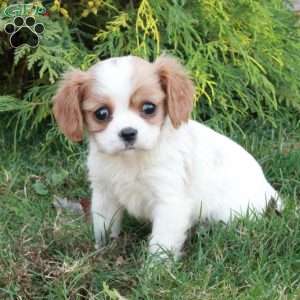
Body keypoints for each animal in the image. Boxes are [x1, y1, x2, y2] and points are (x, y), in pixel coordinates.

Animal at [53, 55, 282, 256]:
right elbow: (103, 227)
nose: (128, 133)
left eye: (148, 108)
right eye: (101, 114)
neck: (131, 160)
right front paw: (103, 251)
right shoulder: (104, 194)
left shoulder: (170, 202)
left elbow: (161, 243)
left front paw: (154, 271)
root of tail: (269, 191)